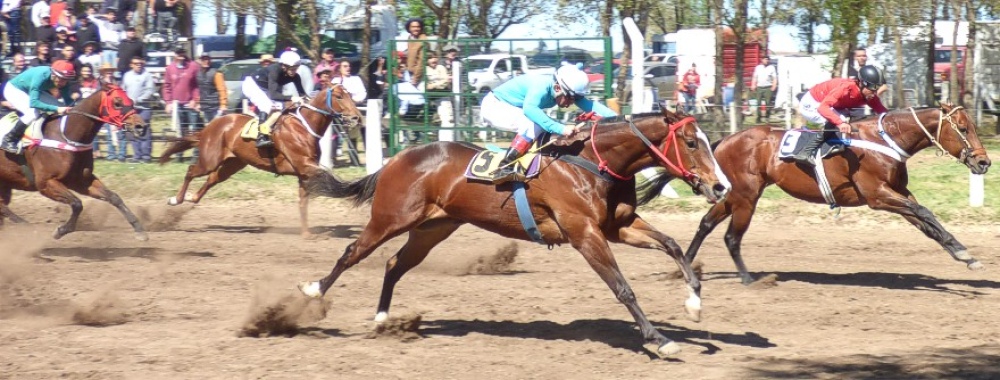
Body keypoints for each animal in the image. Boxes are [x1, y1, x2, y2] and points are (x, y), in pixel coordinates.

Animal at [0, 85, 150, 240]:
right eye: (117, 103)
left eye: (131, 101)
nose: (141, 127)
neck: (67, 136)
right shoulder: (45, 183)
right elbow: (77, 203)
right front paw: (62, 230)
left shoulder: (81, 180)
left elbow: (114, 197)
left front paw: (139, 229)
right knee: (3, 208)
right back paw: (27, 226)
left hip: (5, 184)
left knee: (2, 207)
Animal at [160, 84, 368, 236]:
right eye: (339, 96)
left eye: (350, 95)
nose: (356, 118)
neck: (304, 127)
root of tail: (209, 127)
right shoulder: (305, 165)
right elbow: (330, 179)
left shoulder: (303, 173)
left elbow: (303, 203)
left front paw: (306, 234)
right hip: (209, 160)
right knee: (191, 170)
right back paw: (176, 199)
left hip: (232, 164)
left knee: (212, 179)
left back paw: (191, 198)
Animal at [300, 107, 732, 360]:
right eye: (691, 142)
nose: (721, 187)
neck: (593, 163)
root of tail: (397, 158)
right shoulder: (584, 233)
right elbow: (623, 288)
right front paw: (658, 338)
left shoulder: (618, 227)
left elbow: (673, 245)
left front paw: (694, 302)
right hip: (390, 218)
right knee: (352, 252)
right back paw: (313, 291)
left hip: (432, 229)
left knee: (393, 263)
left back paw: (382, 317)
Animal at [672, 104, 992, 284]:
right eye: (963, 128)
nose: (984, 162)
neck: (886, 140)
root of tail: (724, 141)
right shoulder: (878, 196)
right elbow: (925, 212)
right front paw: (963, 252)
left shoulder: (899, 192)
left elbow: (926, 222)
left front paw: (962, 253)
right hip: (746, 196)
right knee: (731, 237)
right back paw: (748, 279)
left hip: (734, 195)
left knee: (706, 224)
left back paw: (684, 268)